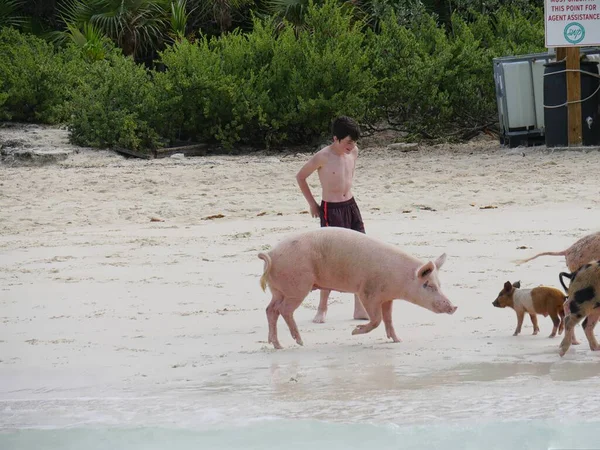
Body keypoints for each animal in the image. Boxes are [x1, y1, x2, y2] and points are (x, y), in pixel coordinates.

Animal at [255, 227, 458, 350]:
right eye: (428, 285)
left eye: (439, 284)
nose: (454, 307)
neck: (399, 280)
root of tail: (271, 253)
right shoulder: (367, 292)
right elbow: (376, 320)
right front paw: (354, 331)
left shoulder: (387, 298)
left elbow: (389, 319)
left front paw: (398, 340)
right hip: (297, 287)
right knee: (284, 310)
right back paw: (300, 342)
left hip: (278, 290)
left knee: (270, 309)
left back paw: (277, 345)